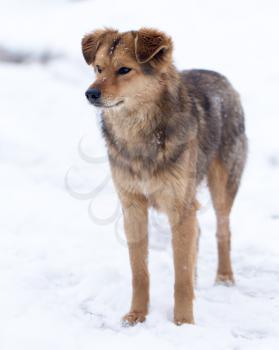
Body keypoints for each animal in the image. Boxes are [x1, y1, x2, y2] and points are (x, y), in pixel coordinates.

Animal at [82, 27, 248, 326]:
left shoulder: (180, 207)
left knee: (223, 230)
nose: (90, 93)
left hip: (222, 187)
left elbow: (180, 275)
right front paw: (136, 315)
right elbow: (139, 272)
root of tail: (221, 77)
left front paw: (184, 323)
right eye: (98, 68)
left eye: (124, 69)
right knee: (199, 234)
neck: (140, 136)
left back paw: (224, 278)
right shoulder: (133, 206)